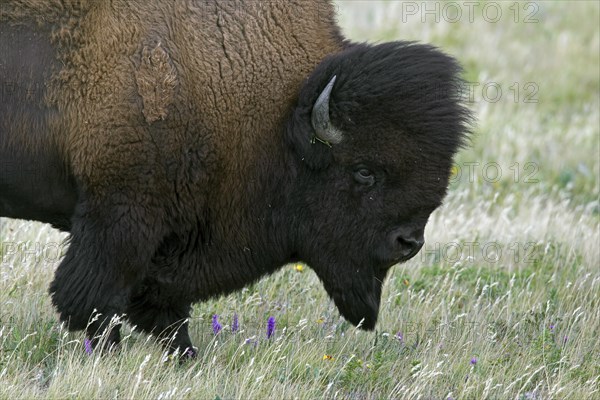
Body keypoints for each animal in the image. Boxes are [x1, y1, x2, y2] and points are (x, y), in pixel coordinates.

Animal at [0, 0, 472, 356]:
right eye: (364, 172)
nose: (409, 242)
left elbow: (162, 309)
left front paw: (184, 356)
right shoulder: (119, 216)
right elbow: (96, 302)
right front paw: (108, 355)